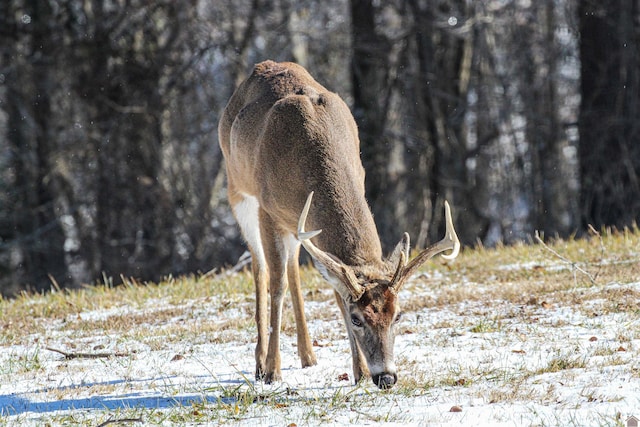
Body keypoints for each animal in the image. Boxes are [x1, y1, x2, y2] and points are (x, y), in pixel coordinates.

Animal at [220, 60, 460, 392]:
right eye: (357, 318)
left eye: (398, 316)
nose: (386, 377)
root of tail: (261, 67)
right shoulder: (268, 210)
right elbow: (276, 286)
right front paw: (272, 372)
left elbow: (333, 289)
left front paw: (359, 372)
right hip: (238, 190)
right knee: (261, 268)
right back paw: (260, 362)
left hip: (294, 225)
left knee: (293, 266)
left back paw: (308, 355)